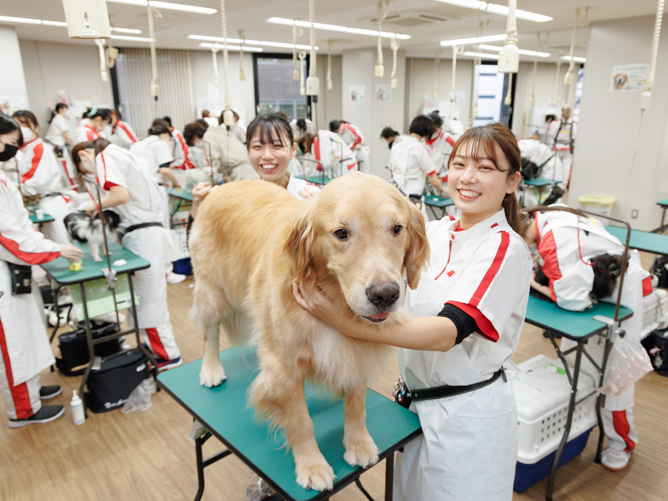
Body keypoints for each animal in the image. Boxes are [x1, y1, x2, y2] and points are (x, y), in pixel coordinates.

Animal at [188, 172, 428, 488]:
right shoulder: (284, 369)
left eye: (397, 228)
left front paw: (358, 443)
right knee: (209, 333)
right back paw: (211, 369)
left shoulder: (357, 354)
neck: (334, 298)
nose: (385, 294)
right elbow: (300, 422)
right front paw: (312, 466)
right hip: (213, 291)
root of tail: (218, 188)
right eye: (341, 233)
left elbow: (356, 405)